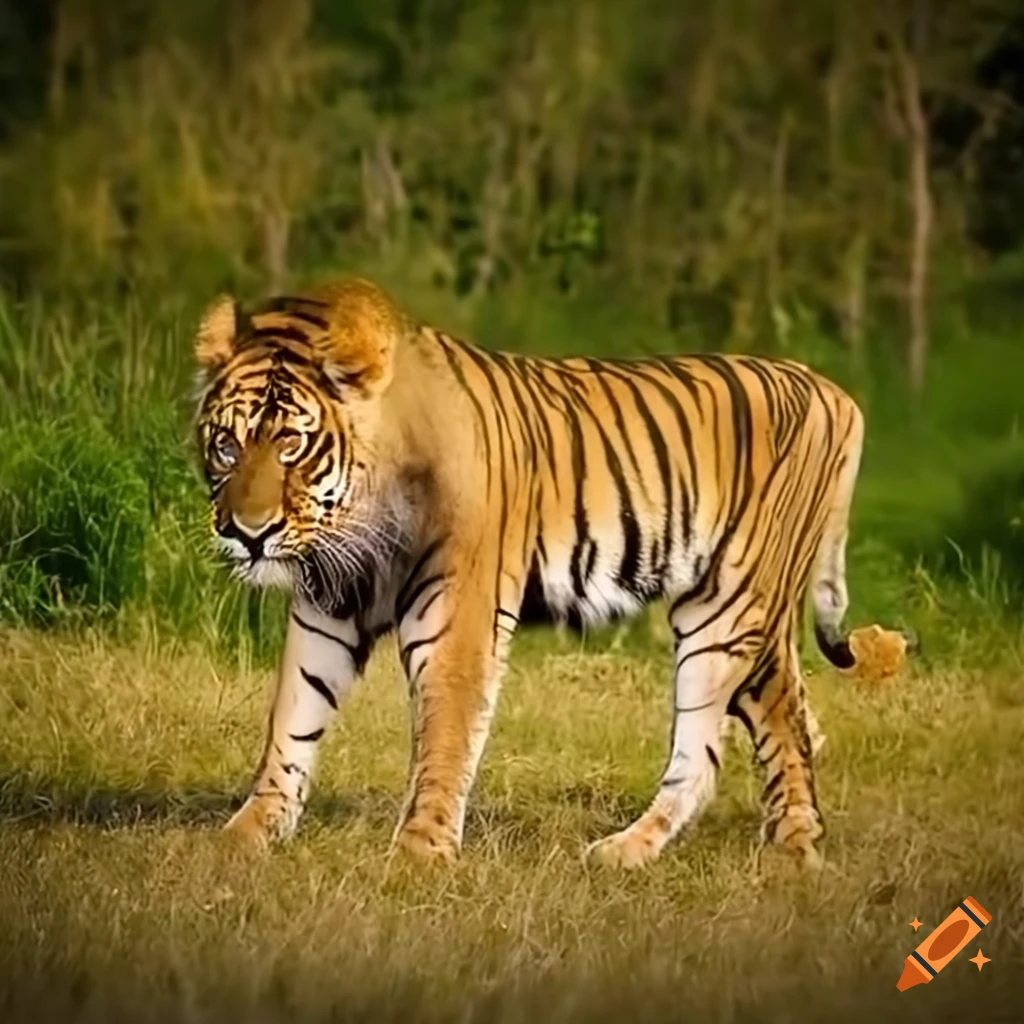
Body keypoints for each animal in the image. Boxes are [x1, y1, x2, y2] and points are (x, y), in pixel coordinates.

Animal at [192, 276, 894, 870]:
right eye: (226, 445)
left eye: (291, 445)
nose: (246, 533)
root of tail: (835, 392)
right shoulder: (329, 607)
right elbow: (292, 716)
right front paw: (247, 834)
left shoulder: (459, 612)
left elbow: (445, 733)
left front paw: (419, 856)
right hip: (742, 612)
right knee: (785, 712)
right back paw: (783, 848)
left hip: (728, 604)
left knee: (717, 744)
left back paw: (644, 852)